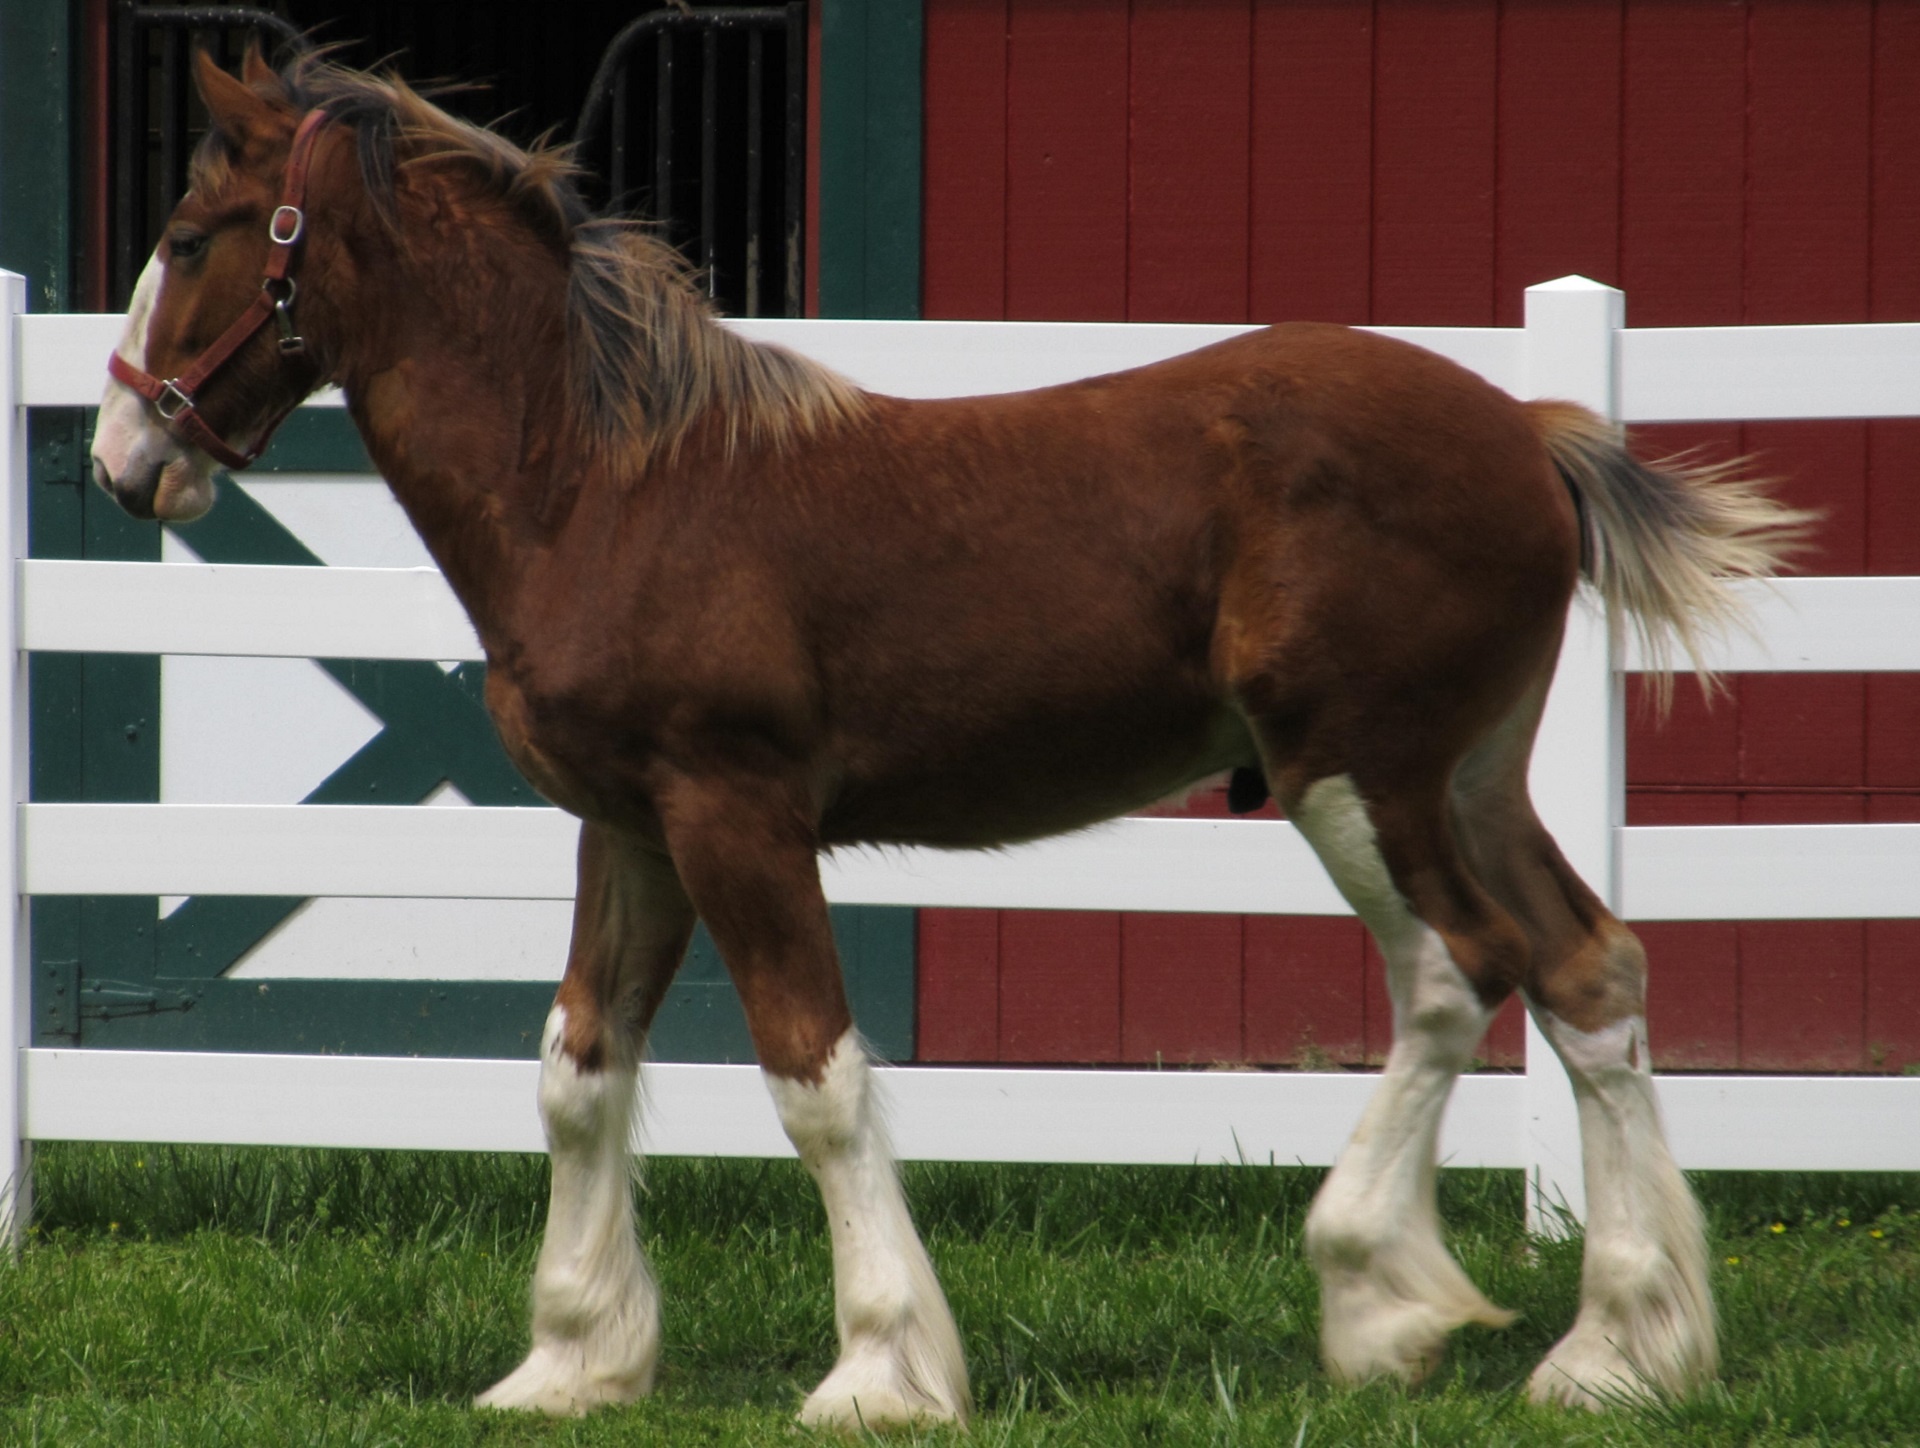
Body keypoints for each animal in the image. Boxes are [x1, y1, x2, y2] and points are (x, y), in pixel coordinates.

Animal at [90, 53, 1797, 1421]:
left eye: (187, 239)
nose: (119, 458)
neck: (605, 484)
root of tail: (1530, 434)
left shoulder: (734, 816)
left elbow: (814, 1078)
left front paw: (879, 1373)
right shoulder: (628, 825)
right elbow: (580, 1069)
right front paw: (568, 1365)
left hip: (1355, 775)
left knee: (1456, 974)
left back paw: (1384, 1297)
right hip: (1472, 775)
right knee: (1587, 971)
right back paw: (1620, 1352)